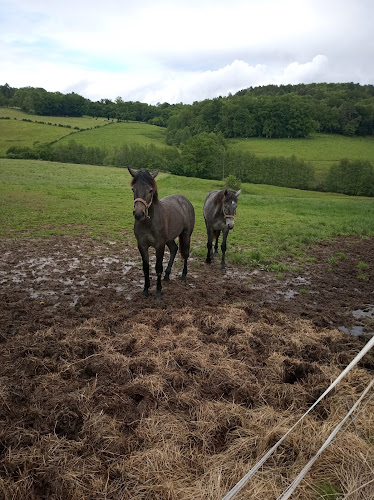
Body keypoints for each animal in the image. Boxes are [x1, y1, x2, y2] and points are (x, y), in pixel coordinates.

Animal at [129, 168, 196, 300]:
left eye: (151, 190)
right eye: (133, 189)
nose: (139, 214)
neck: (148, 222)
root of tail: (185, 201)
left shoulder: (160, 245)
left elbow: (158, 268)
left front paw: (158, 292)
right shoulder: (142, 245)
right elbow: (145, 268)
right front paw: (145, 290)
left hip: (186, 235)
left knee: (185, 254)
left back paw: (183, 276)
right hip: (169, 238)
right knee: (174, 249)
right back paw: (167, 275)